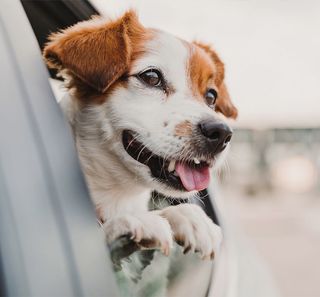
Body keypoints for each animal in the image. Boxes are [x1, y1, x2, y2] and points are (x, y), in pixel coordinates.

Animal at [43, 9, 238, 260]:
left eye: (211, 96)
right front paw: (129, 221)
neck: (119, 194)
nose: (221, 133)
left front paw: (189, 217)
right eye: (152, 77)